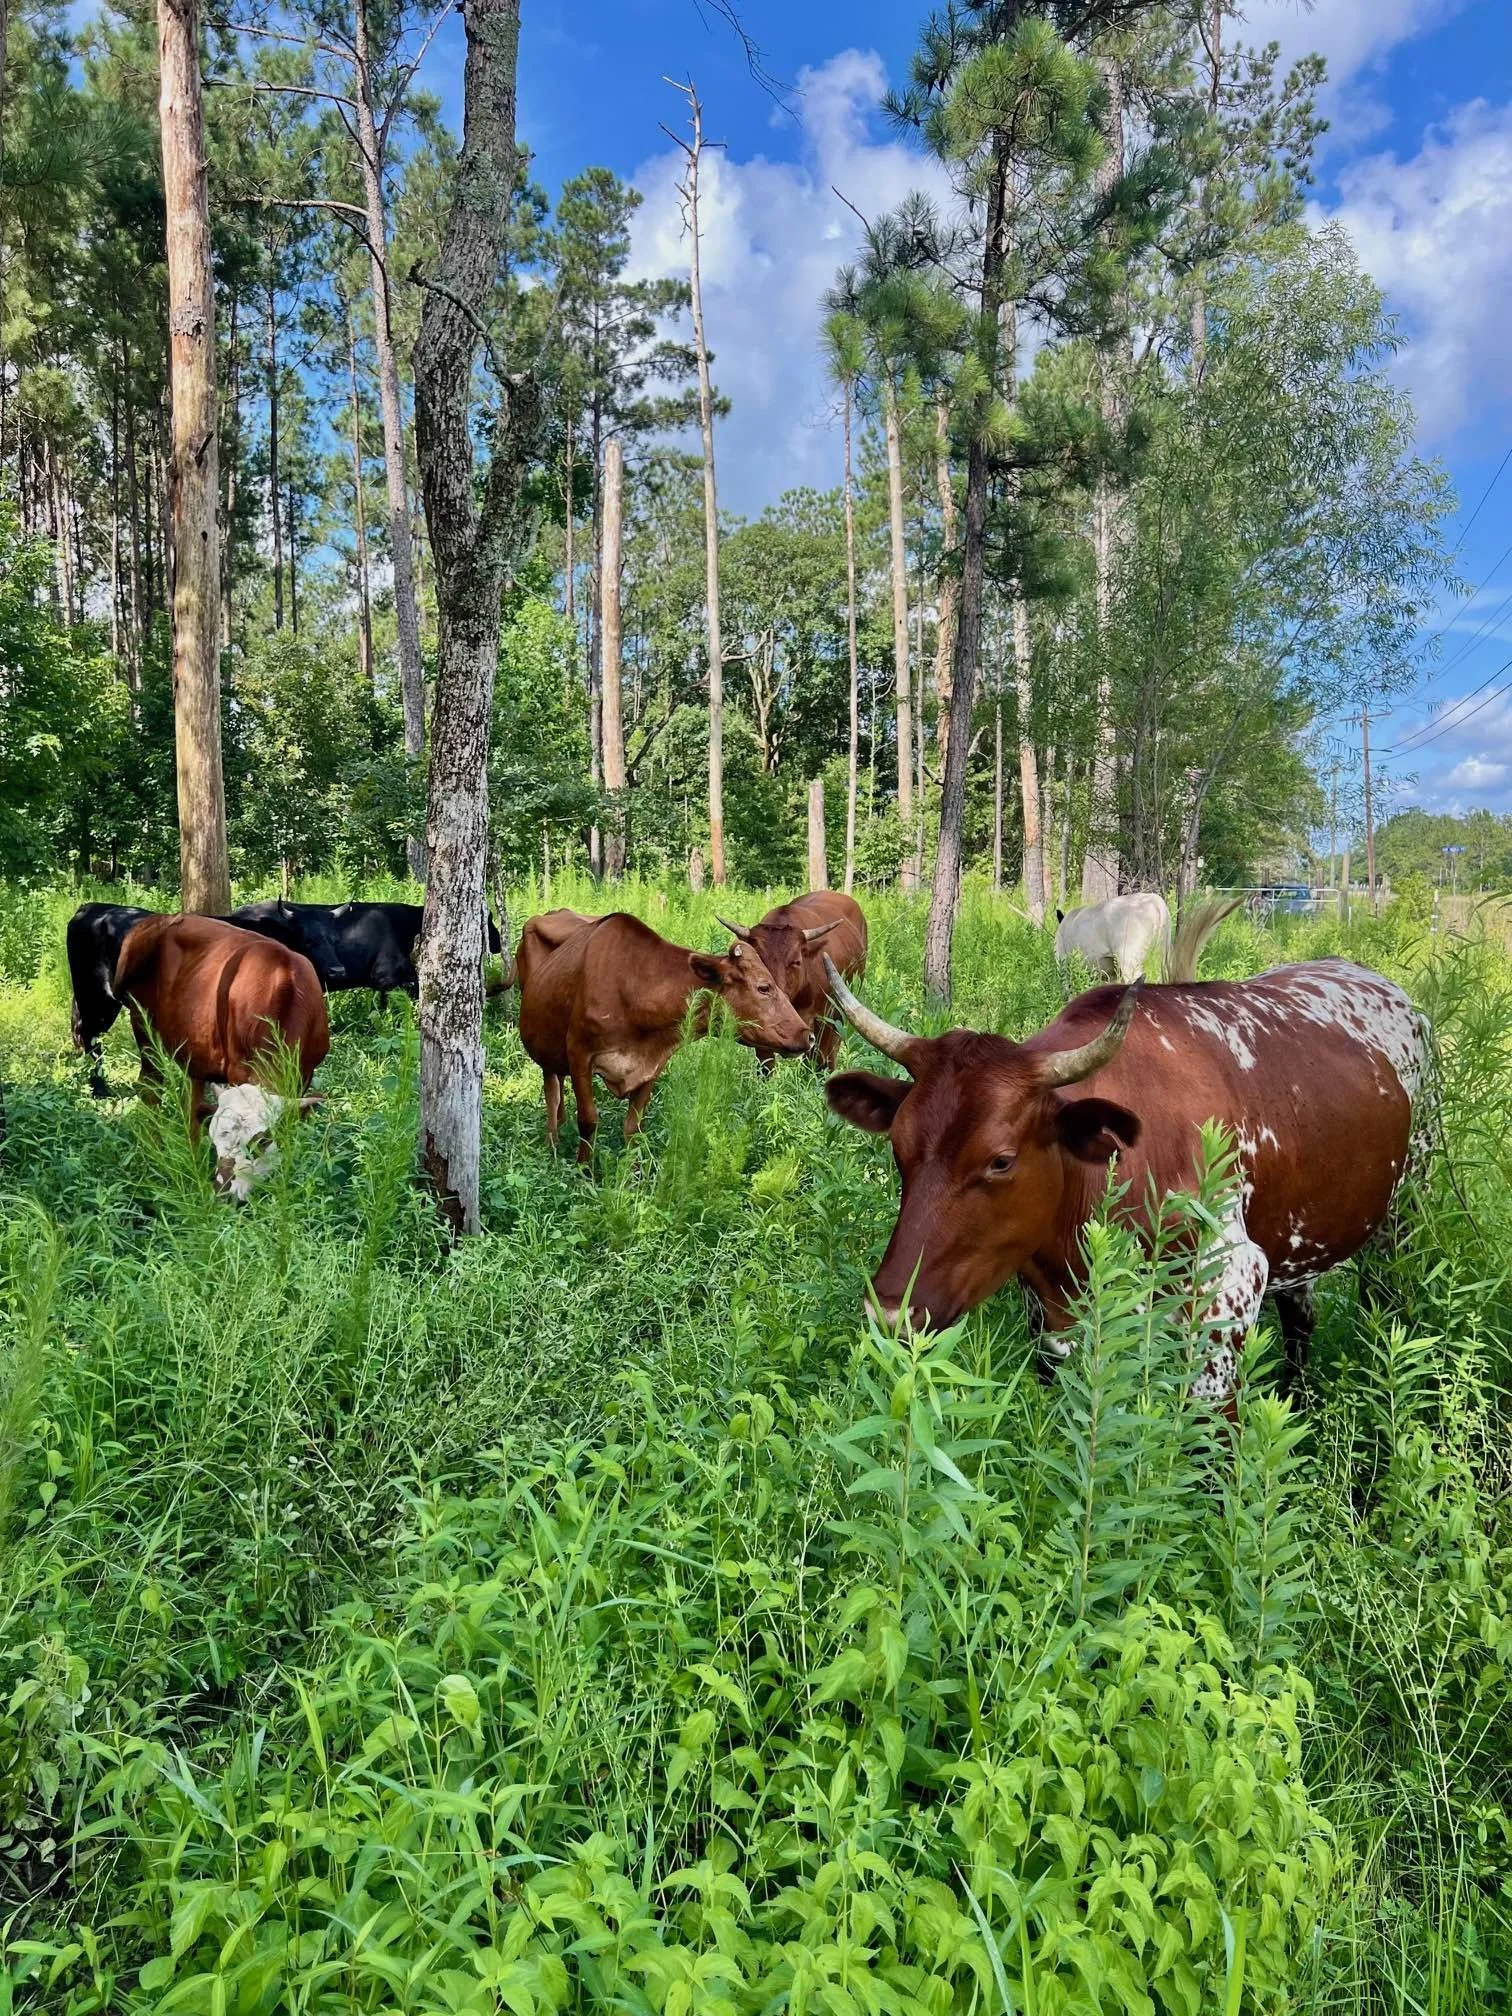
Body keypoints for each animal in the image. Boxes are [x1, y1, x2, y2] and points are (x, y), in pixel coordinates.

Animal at [113, 913, 330, 1199]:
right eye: (216, 1138)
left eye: (261, 1141)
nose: (222, 1191)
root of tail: (161, 918)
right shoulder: (238, 1070)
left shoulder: (304, 1074)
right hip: (143, 1027)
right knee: (150, 1089)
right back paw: (154, 1150)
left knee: (192, 1100)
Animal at [516, 910, 812, 1163]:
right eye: (764, 987)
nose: (807, 1035)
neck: (633, 989)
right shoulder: (579, 1053)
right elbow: (588, 1120)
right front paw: (583, 1173)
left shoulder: (652, 1064)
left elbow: (633, 1127)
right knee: (552, 1094)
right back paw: (553, 1147)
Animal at [822, 952, 1429, 1406]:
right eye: (898, 1148)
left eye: (1001, 1160)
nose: (892, 1313)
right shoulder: (1049, 1316)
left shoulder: (1229, 1288)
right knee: (1301, 1316)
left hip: (1401, 1212)